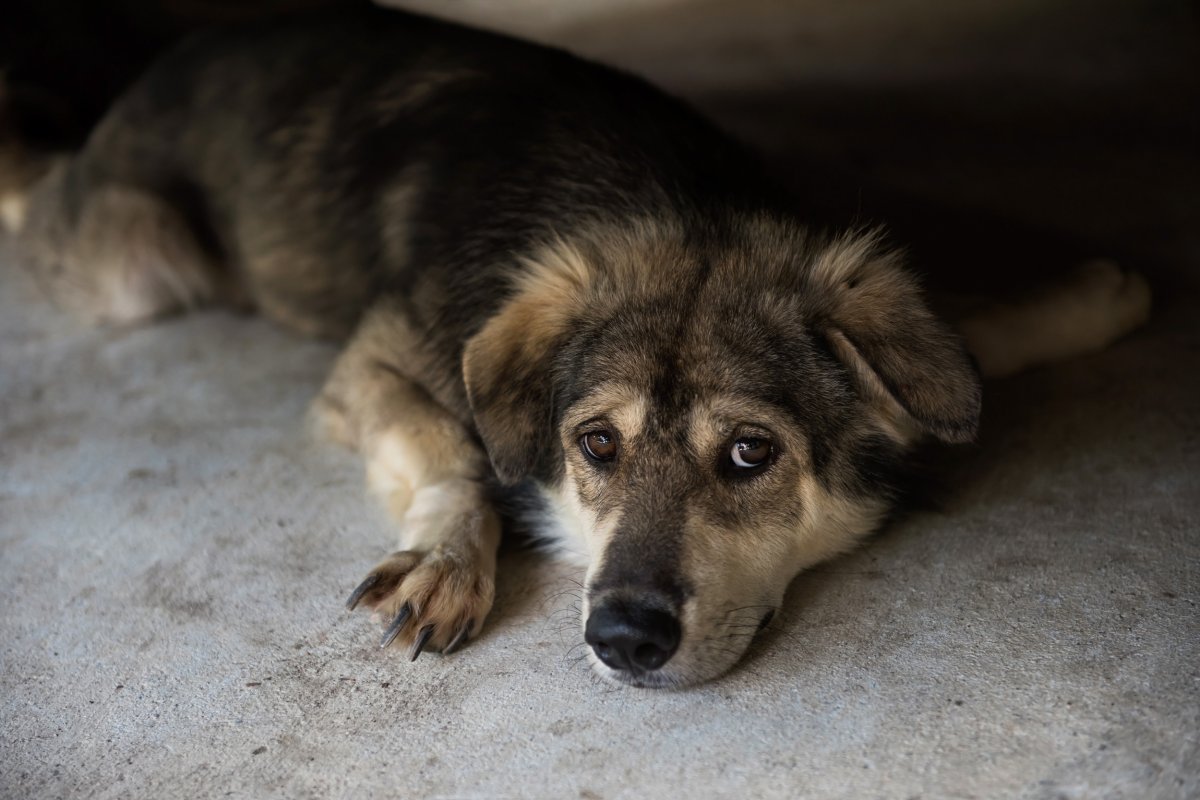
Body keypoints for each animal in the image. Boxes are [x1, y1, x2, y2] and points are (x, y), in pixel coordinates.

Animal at [2, 4, 1152, 690]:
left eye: (751, 453)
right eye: (595, 444)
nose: (624, 641)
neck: (668, 197)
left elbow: (960, 344)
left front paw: (1086, 299)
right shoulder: (373, 362)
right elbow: (460, 454)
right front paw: (447, 557)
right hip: (136, 263)